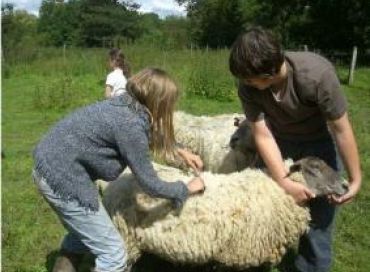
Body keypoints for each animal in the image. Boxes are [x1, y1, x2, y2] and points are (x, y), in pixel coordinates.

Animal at [99, 156, 346, 268]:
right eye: (314, 169)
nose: (345, 185)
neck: (278, 190)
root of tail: (113, 183)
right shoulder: (234, 253)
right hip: (126, 237)